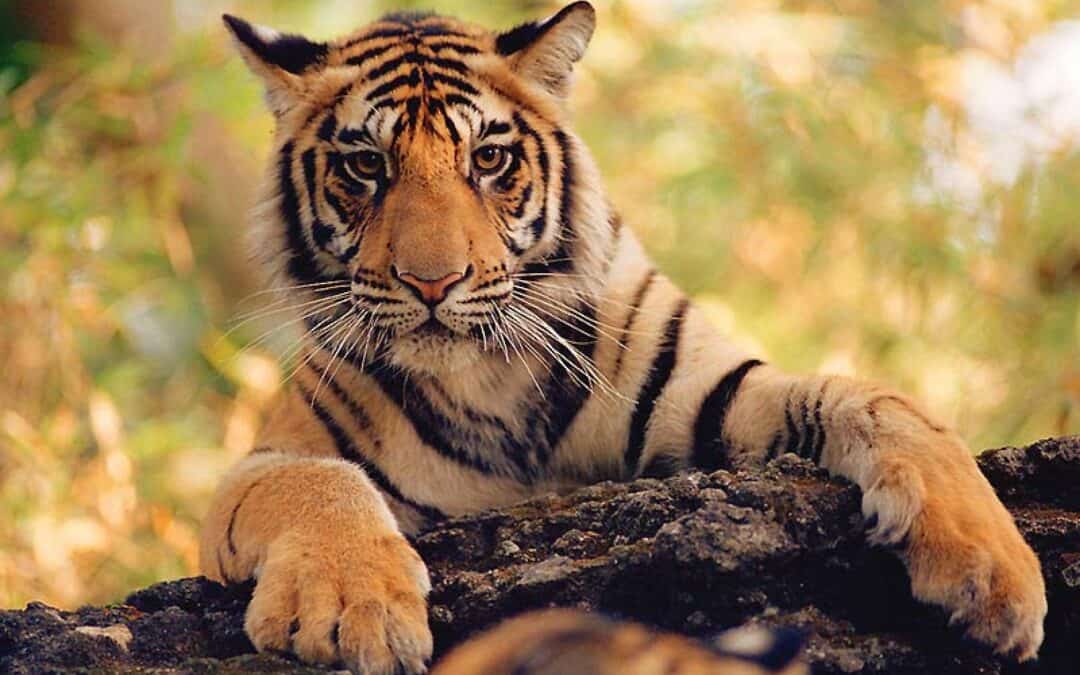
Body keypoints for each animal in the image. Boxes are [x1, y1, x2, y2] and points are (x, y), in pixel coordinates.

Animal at [200, 3, 1047, 673]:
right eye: (365, 165)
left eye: (489, 158)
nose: (432, 282)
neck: (487, 374)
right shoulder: (263, 464)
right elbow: (317, 481)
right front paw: (355, 609)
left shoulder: (714, 394)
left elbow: (880, 399)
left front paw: (993, 572)